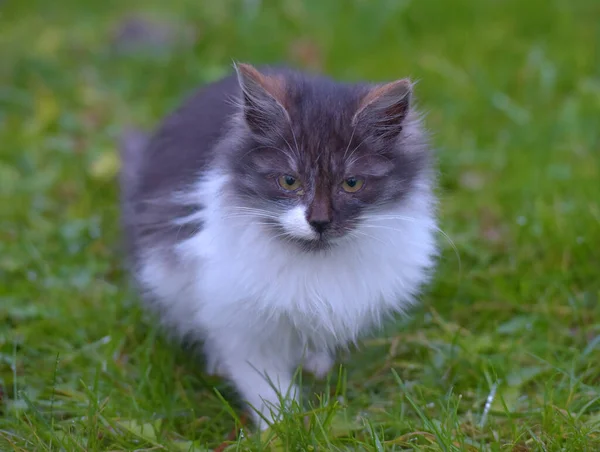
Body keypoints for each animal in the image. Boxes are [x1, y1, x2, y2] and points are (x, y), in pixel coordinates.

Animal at [120, 62, 440, 428]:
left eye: (352, 183)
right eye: (289, 181)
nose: (319, 222)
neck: (314, 262)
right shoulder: (240, 323)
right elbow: (263, 382)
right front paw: (283, 425)